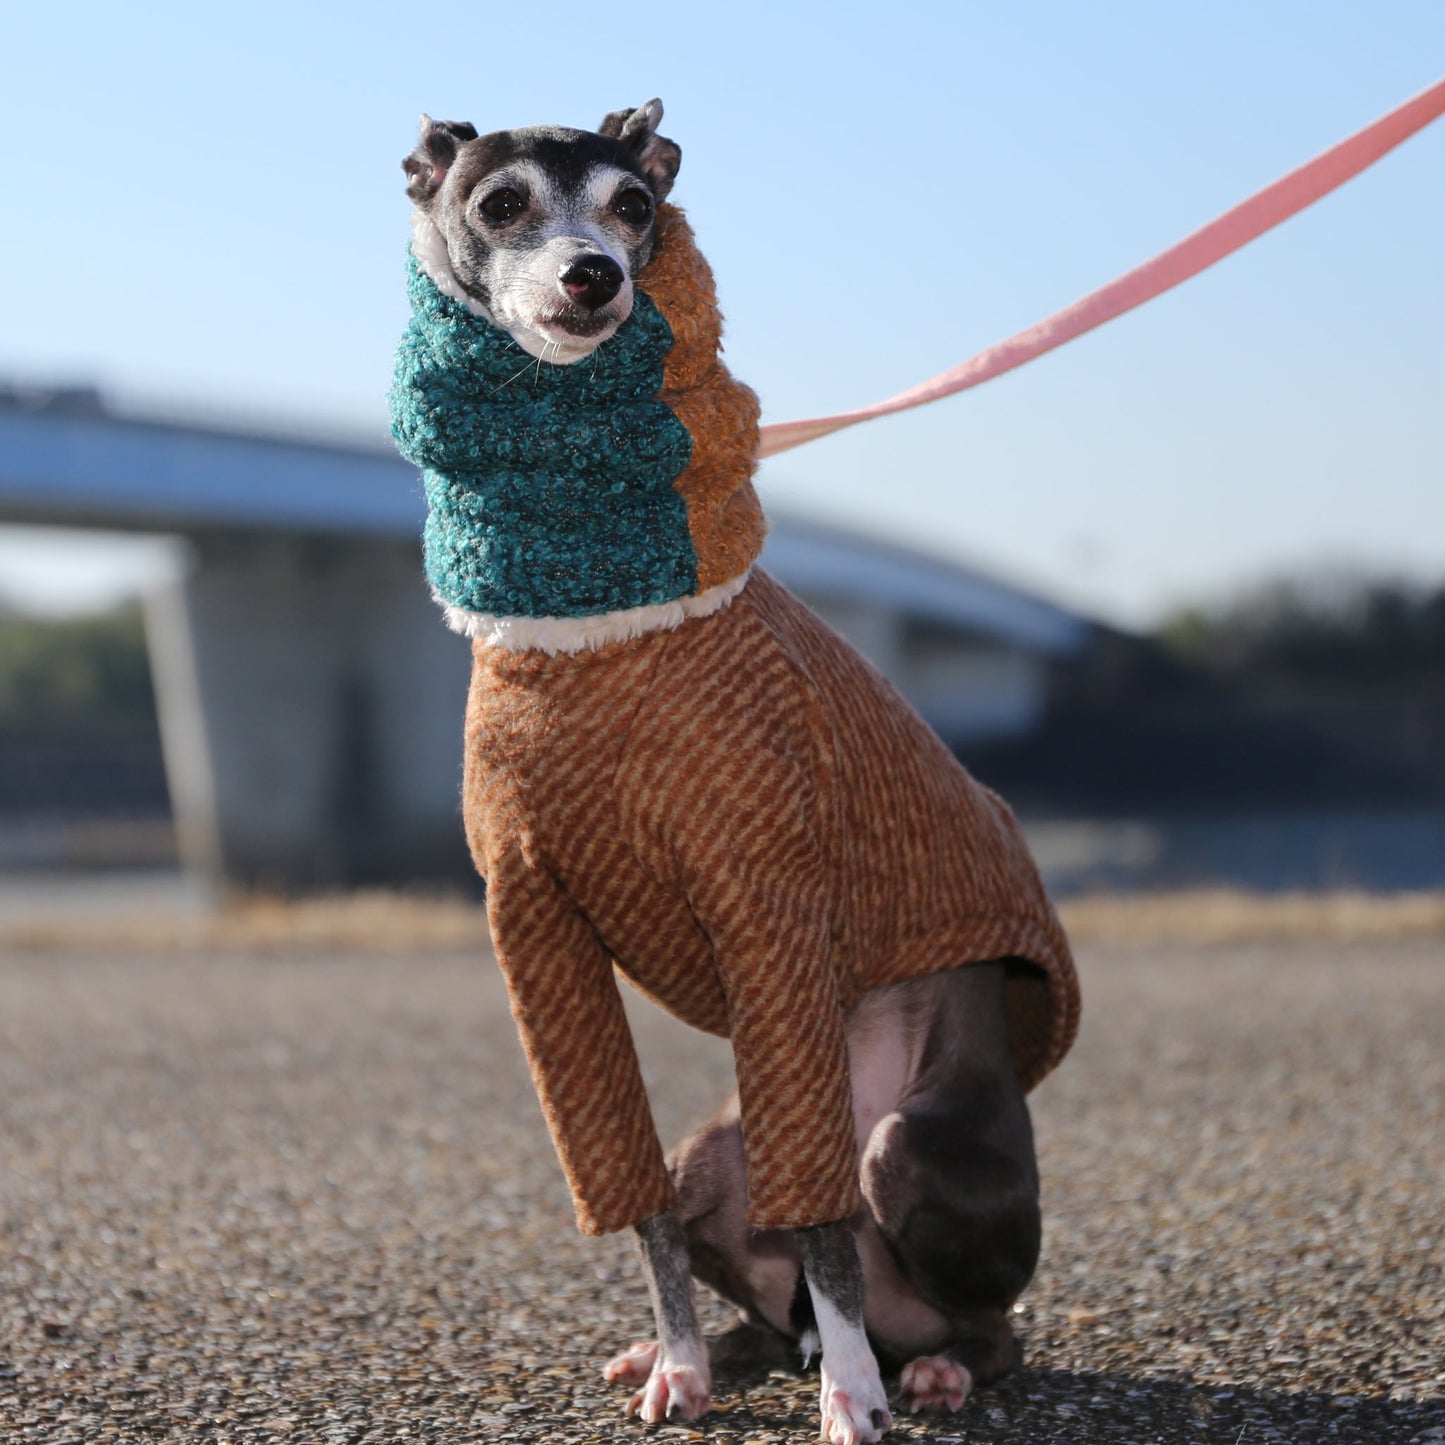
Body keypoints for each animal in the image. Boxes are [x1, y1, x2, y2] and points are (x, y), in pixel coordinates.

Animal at [395, 101, 1075, 1445]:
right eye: (499, 203)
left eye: (633, 205)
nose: (594, 277)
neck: (588, 638)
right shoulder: (535, 927)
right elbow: (637, 1200)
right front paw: (677, 1360)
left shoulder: (761, 897)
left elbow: (822, 1235)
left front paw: (850, 1393)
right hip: (728, 1155)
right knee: (754, 1260)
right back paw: (735, 1347)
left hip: (904, 1141)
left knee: (954, 1297)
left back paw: (920, 1366)